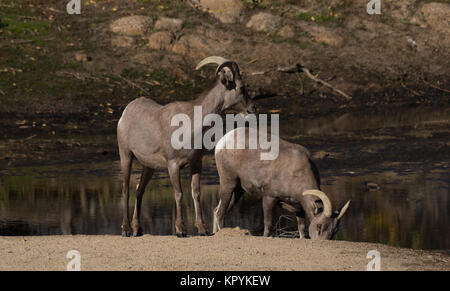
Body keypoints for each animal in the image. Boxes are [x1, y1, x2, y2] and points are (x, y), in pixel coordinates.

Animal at [116, 56, 255, 237]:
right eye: (241, 87)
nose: (252, 108)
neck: (191, 124)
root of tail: (126, 112)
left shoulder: (196, 163)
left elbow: (196, 193)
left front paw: (203, 229)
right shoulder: (173, 165)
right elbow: (179, 194)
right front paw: (180, 230)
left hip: (149, 166)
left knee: (140, 190)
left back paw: (137, 229)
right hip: (126, 155)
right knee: (126, 189)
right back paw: (125, 229)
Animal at [214, 128, 352, 240]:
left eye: (334, 231)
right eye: (319, 226)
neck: (296, 173)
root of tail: (222, 142)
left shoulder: (298, 207)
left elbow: (302, 227)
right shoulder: (269, 197)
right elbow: (268, 224)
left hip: (238, 190)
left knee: (217, 211)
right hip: (229, 184)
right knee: (220, 213)